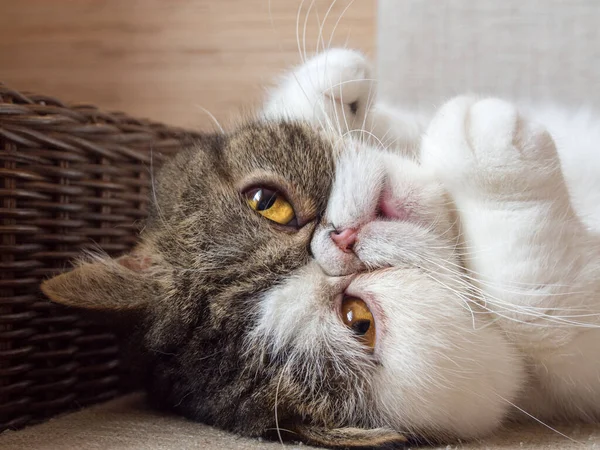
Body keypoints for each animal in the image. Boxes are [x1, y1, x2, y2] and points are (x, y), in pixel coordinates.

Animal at [262, 50, 600, 440]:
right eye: (358, 320)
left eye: (272, 203)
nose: (340, 237)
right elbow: (532, 302)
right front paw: (485, 134)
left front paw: (340, 86)